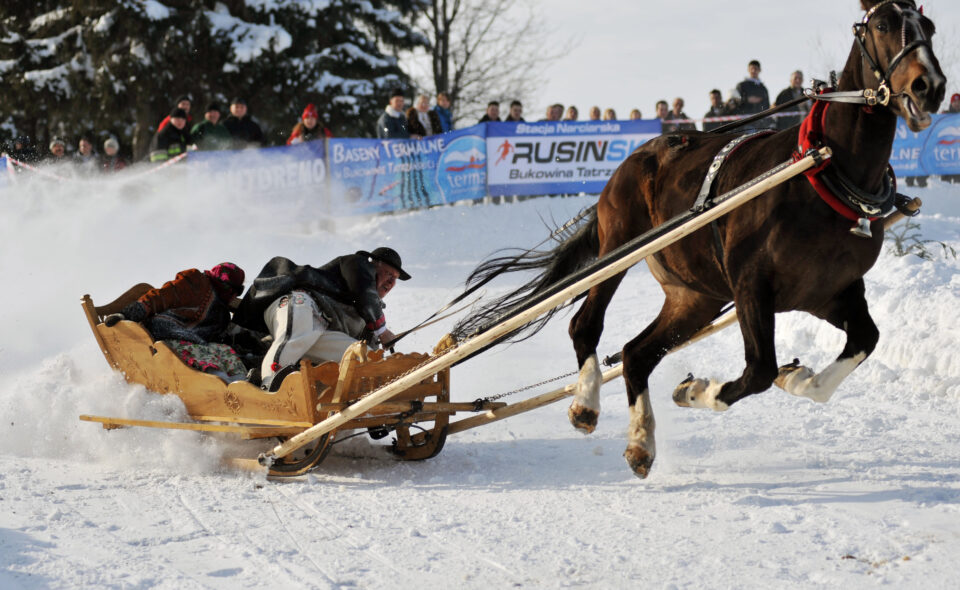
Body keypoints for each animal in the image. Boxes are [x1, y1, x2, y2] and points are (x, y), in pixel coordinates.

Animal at [456, 0, 944, 478]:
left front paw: (797, 378)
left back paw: (641, 441)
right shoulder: (751, 286)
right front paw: (701, 391)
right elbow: (759, 370)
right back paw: (586, 402)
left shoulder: (829, 291)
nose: (929, 86)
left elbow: (864, 340)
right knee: (585, 326)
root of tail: (636, 156)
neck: (824, 173)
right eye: (882, 25)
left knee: (636, 354)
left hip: (696, 296)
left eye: (931, 28)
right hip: (618, 251)